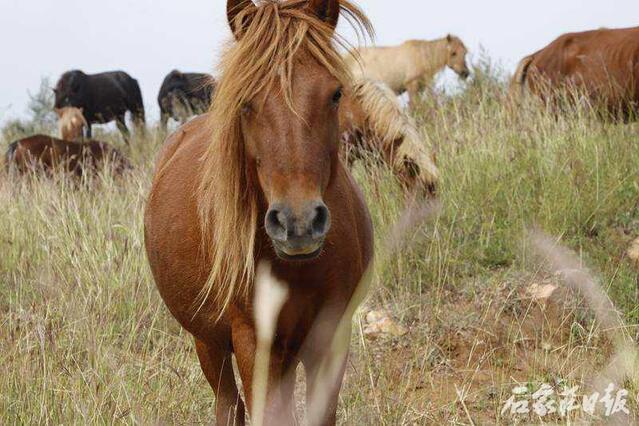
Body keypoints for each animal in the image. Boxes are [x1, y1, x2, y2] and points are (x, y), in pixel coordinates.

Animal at [145, 0, 376, 426]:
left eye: (336, 93)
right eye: (245, 102)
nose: (298, 223)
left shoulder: (330, 338)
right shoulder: (254, 343)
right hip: (210, 344)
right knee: (228, 403)